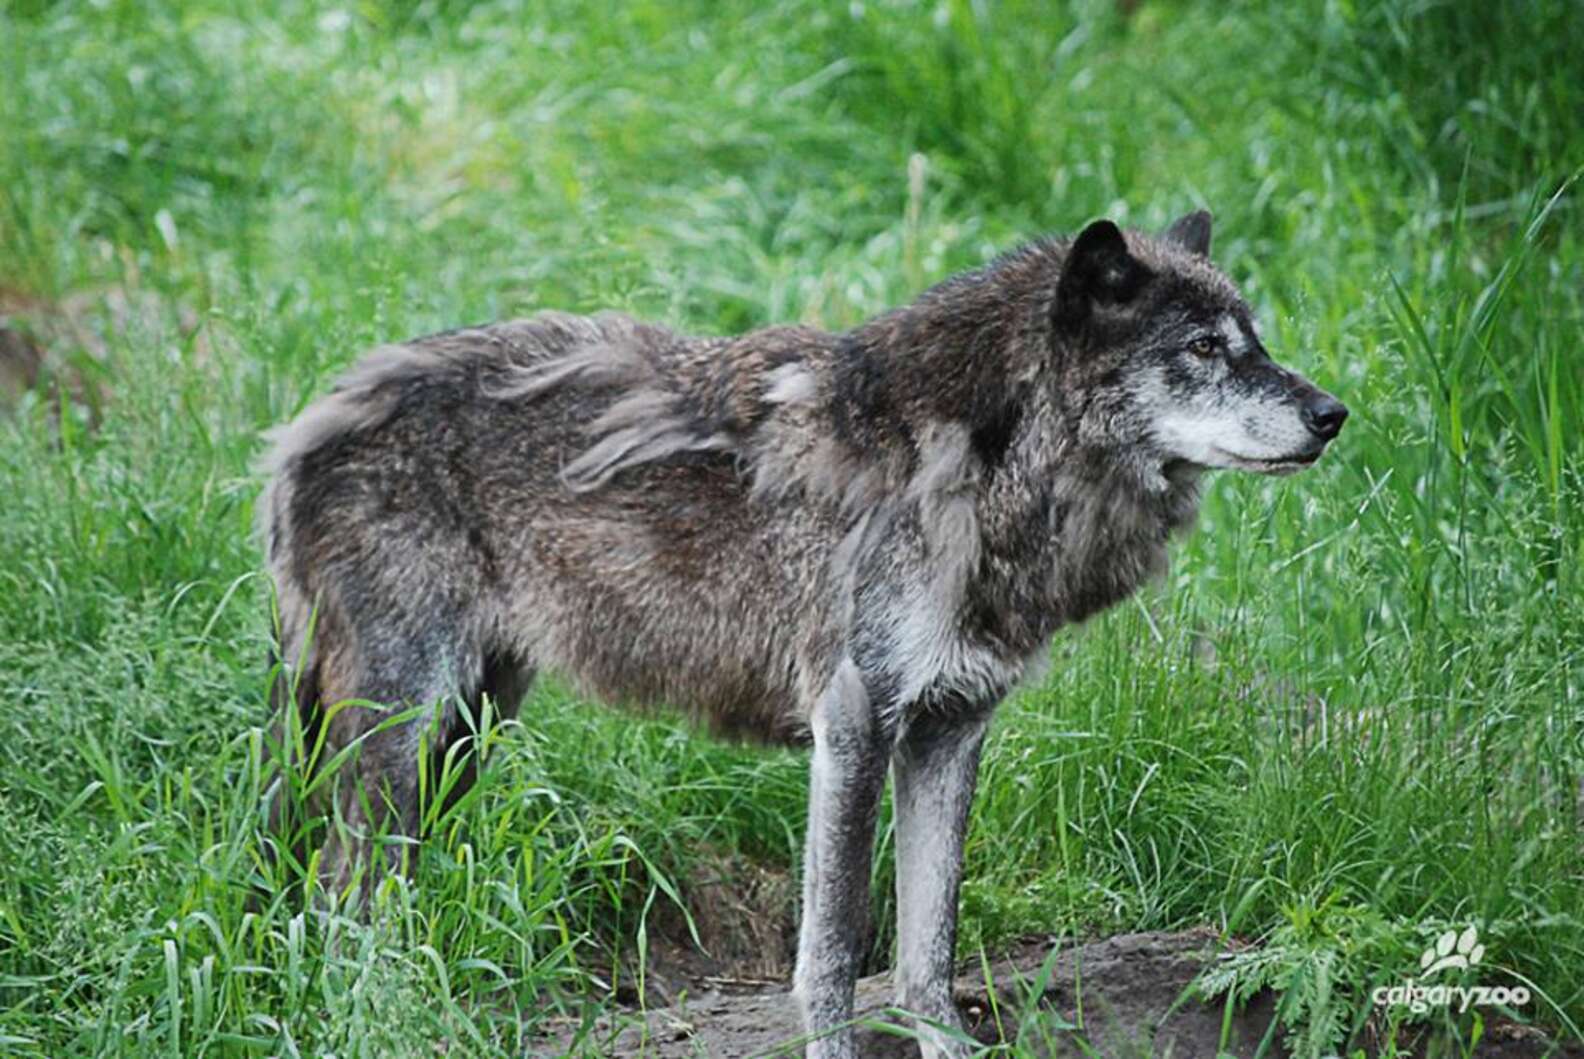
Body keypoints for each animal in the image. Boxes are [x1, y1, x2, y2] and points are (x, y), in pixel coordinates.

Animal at [257, 211, 1345, 1058]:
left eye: (1253, 339)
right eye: (1203, 349)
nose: (1333, 413)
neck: (969, 471)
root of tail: (307, 420)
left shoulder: (952, 730)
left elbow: (927, 949)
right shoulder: (854, 726)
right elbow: (834, 949)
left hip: (466, 730)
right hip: (401, 725)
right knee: (346, 888)